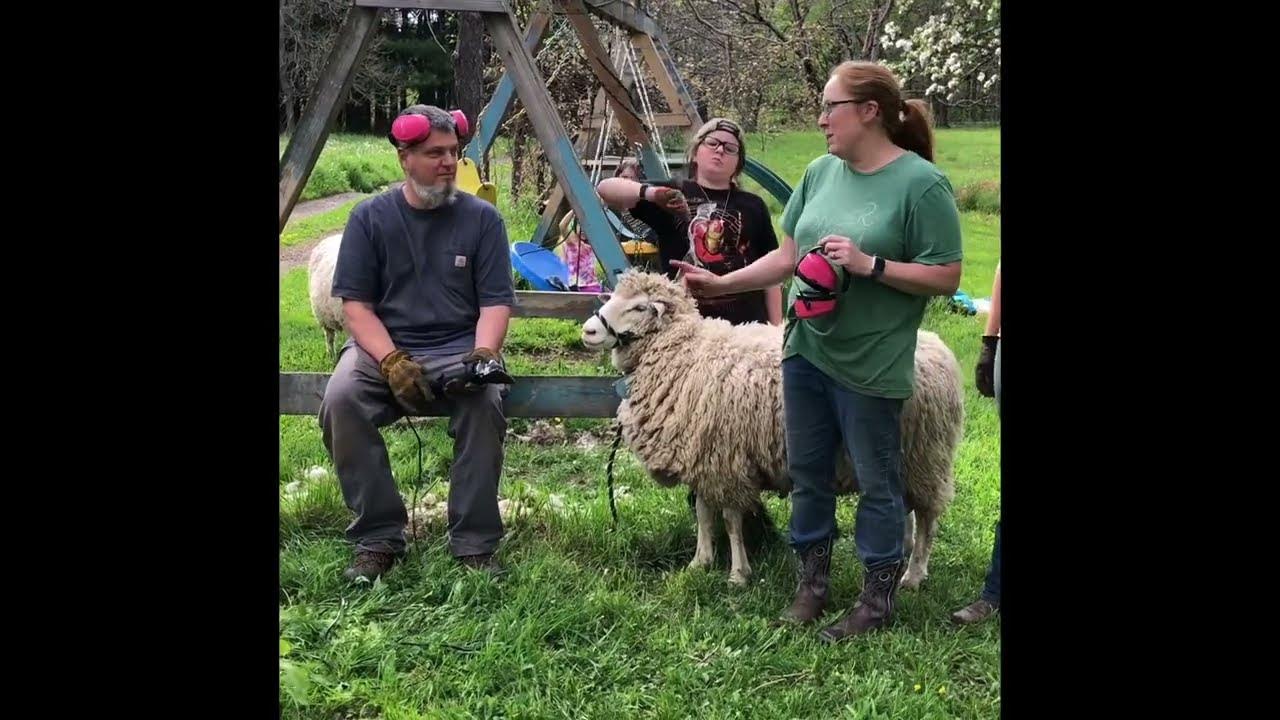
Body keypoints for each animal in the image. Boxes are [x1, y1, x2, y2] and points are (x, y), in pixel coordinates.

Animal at [580, 270, 963, 589]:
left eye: (639, 306)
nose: (588, 331)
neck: (683, 354)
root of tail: (941, 351)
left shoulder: (726, 462)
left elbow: (731, 520)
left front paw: (737, 574)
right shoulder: (703, 458)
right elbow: (704, 513)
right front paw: (699, 562)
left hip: (926, 455)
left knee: (927, 515)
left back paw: (914, 574)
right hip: (906, 456)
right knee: (906, 506)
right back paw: (903, 550)